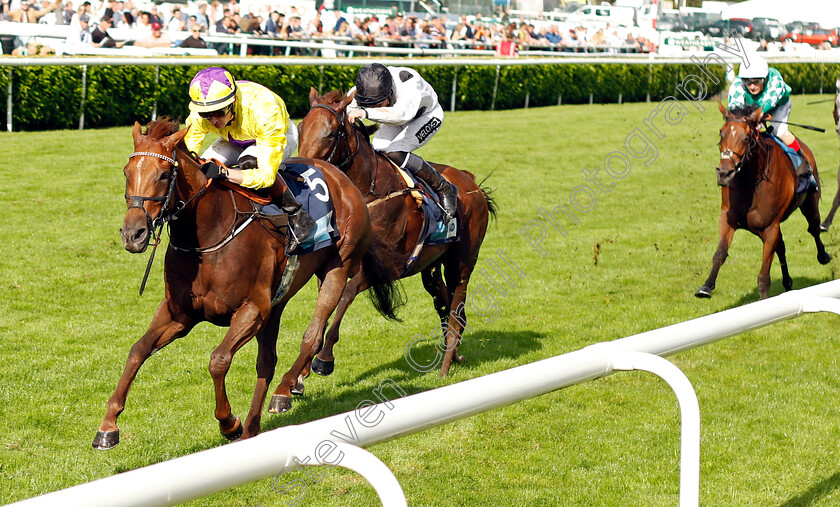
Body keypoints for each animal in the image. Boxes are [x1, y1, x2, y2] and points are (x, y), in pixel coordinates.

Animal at [93, 118, 396, 448]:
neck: (209, 235)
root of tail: (342, 178)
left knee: (313, 335)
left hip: (338, 269)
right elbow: (138, 350)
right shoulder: (180, 313)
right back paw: (253, 427)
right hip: (279, 300)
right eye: (126, 172)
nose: (132, 234)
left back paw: (285, 390)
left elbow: (218, 360)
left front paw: (229, 422)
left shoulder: (252, 309)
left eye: (163, 175)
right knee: (268, 361)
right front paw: (108, 426)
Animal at [288, 88, 496, 388]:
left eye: (331, 132)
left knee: (456, 309)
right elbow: (326, 305)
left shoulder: (389, 267)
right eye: (301, 128)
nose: (302, 172)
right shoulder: (338, 264)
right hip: (431, 267)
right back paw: (455, 354)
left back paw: (446, 366)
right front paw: (301, 375)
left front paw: (324, 359)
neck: (369, 192)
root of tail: (472, 184)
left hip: (462, 263)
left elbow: (344, 297)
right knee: (446, 306)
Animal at [692, 104, 832, 302]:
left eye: (746, 138)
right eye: (721, 133)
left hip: (809, 203)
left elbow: (764, 274)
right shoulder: (728, 219)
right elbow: (720, 253)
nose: (724, 173)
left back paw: (823, 256)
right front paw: (706, 286)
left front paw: (763, 300)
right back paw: (788, 282)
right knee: (782, 247)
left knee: (813, 227)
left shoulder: (769, 227)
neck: (750, 182)